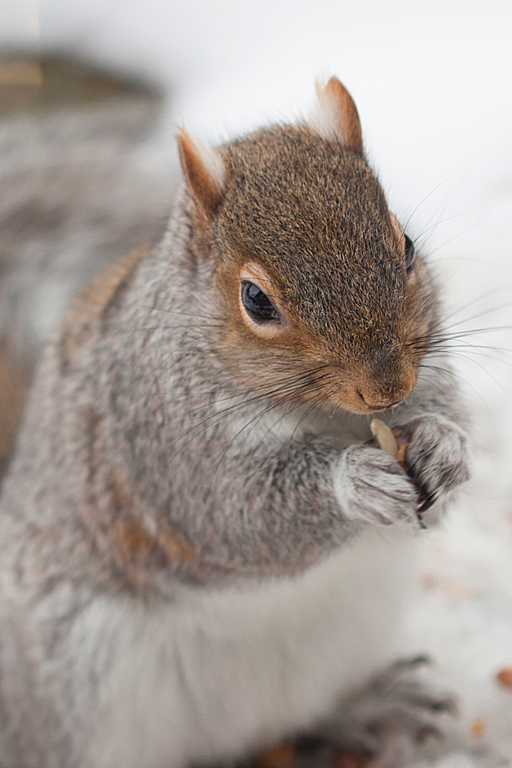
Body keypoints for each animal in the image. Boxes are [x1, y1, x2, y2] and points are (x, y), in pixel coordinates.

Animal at [0, 77, 471, 768]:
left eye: (406, 246)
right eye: (255, 300)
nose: (387, 388)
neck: (327, 417)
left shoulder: (429, 372)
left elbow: (450, 421)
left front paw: (444, 447)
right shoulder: (162, 436)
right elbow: (237, 513)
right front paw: (354, 484)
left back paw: (372, 707)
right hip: (79, 694)